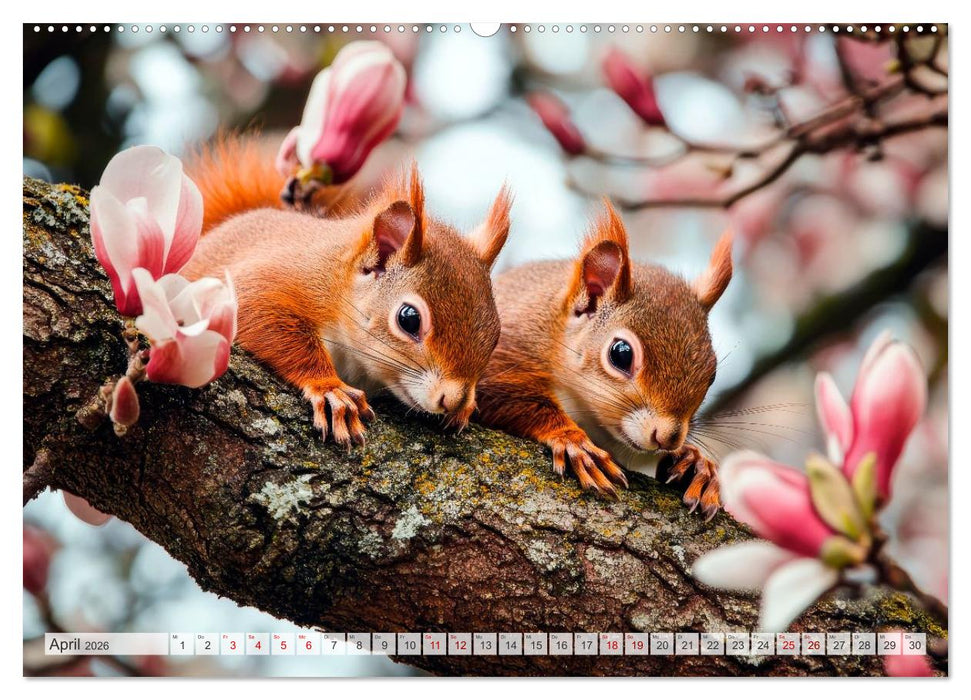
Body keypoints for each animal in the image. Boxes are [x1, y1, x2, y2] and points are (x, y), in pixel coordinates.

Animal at [182, 136, 513, 447]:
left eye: (496, 336)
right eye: (409, 319)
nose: (452, 400)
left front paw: (467, 407)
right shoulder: (281, 277)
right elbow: (257, 308)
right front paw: (329, 389)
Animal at [474, 201, 732, 519]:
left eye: (713, 375)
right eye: (621, 354)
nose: (669, 437)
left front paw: (695, 462)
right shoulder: (502, 347)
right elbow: (503, 395)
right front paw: (572, 440)